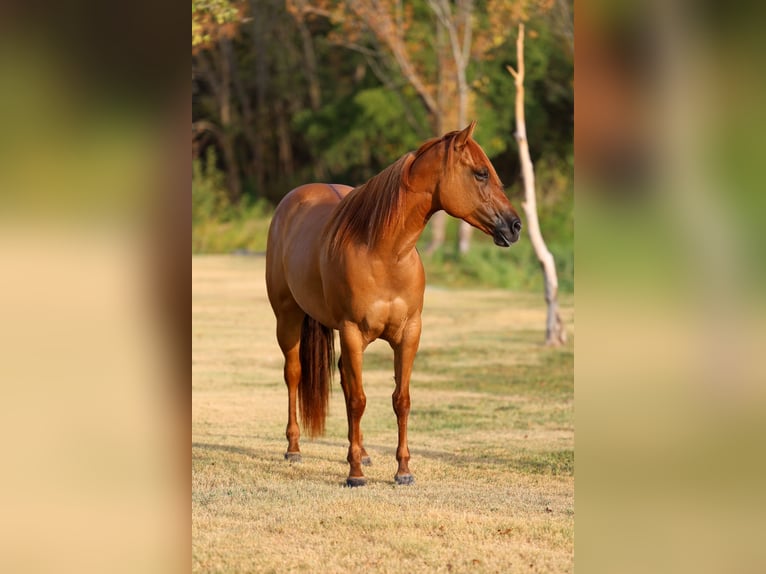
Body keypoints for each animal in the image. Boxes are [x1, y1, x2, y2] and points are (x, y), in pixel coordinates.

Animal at [265, 121, 521, 486]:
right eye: (481, 173)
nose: (515, 226)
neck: (384, 252)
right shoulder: (352, 332)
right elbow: (358, 401)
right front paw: (355, 475)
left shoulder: (409, 334)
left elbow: (400, 400)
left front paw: (402, 470)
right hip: (287, 318)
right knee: (294, 374)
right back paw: (294, 449)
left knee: (343, 381)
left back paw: (363, 453)